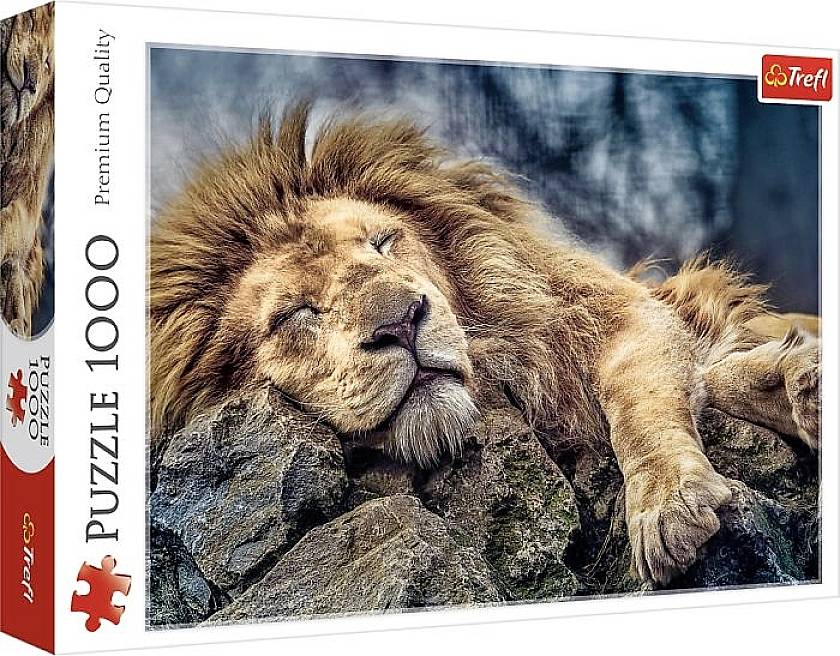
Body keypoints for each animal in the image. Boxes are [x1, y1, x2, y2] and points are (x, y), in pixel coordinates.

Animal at [150, 103, 820, 588]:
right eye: (296, 314)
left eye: (383, 243)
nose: (402, 321)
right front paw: (792, 385)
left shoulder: (617, 314)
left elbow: (642, 403)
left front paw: (670, 503)